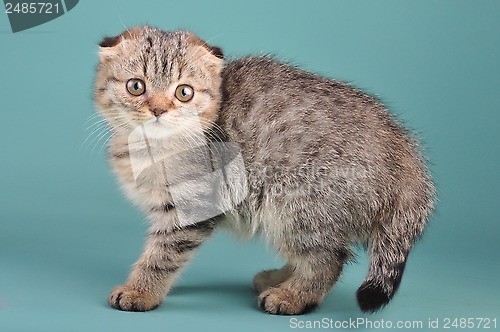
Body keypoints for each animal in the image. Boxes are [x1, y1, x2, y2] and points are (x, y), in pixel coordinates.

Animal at [93, 26, 434, 314]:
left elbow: (162, 255)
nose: (158, 110)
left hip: (297, 201)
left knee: (329, 259)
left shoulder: (192, 205)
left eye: (183, 92)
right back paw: (280, 278)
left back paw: (293, 296)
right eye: (136, 87)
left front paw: (141, 291)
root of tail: (404, 152)